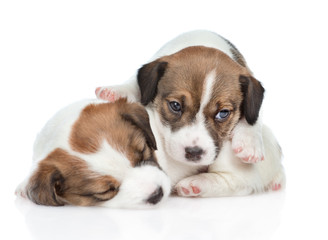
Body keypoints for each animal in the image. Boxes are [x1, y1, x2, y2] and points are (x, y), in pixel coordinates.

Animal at [96, 30, 286, 196]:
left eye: (223, 113)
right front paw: (117, 90)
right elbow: (135, 82)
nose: (194, 152)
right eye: (175, 106)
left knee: (238, 183)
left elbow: (254, 118)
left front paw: (249, 142)